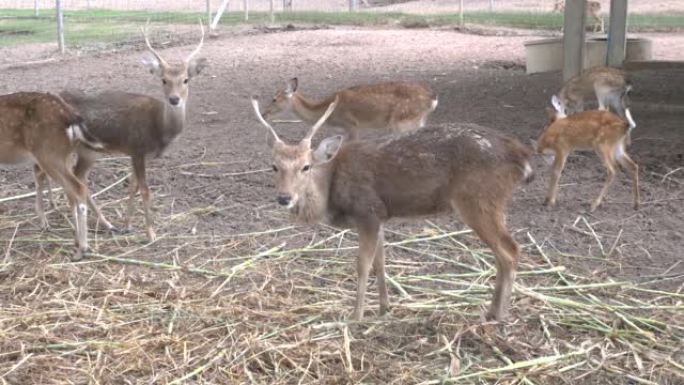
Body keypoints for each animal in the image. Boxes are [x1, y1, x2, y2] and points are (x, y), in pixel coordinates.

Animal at [0, 92, 103, 260]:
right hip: (63, 156)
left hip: (49, 154)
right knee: (72, 190)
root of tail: (70, 116)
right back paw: (76, 240)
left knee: (78, 188)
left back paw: (83, 248)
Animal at [34, 20, 208, 240]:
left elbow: (133, 186)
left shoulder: (139, 154)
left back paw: (103, 222)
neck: (159, 128)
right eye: (163, 80)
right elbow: (145, 189)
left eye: (186, 79)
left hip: (87, 151)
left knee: (76, 178)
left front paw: (127, 224)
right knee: (44, 172)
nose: (174, 99)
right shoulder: (137, 148)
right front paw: (151, 233)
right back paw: (46, 221)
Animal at [251, 96, 536, 320]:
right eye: (274, 166)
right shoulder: (380, 217)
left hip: (478, 199)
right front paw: (384, 307)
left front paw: (355, 316)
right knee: (502, 253)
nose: (284, 198)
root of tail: (522, 159)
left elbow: (362, 264)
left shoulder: (367, 211)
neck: (331, 194)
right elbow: (381, 262)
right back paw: (492, 311)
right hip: (490, 201)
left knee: (510, 250)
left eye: (306, 166)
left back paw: (498, 315)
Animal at [260, 77, 436, 139]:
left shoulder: (351, 124)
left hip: (402, 120)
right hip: (415, 121)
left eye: (274, 99)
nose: (264, 114)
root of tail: (432, 99)